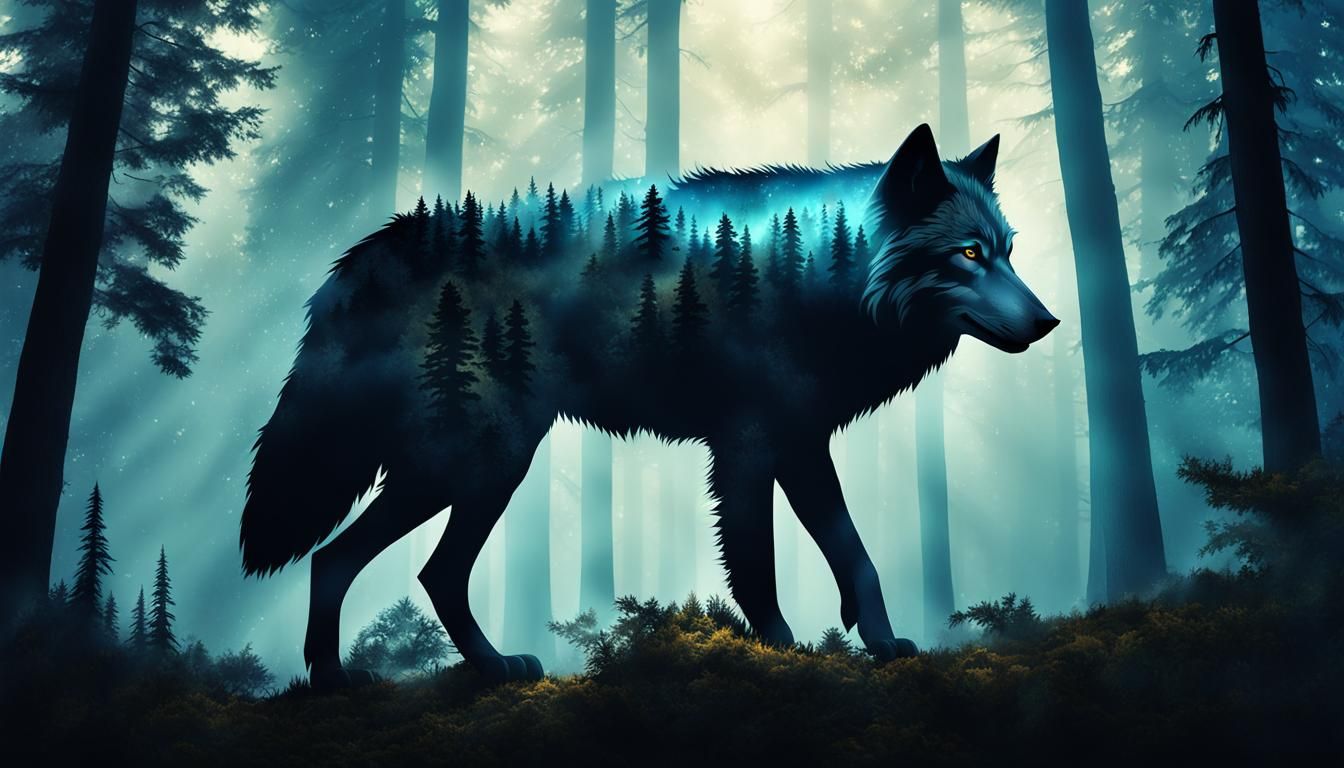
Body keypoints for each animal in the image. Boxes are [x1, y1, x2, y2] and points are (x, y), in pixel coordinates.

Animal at [240, 124, 1058, 688]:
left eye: (1009, 251)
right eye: (969, 254)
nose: (1050, 321)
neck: (828, 276)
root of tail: (367, 254)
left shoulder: (801, 447)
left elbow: (856, 557)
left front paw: (882, 644)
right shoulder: (748, 449)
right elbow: (756, 564)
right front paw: (782, 648)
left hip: (474, 468)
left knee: (390, 567)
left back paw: (436, 671)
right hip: (477, 463)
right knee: (362, 561)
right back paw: (346, 677)